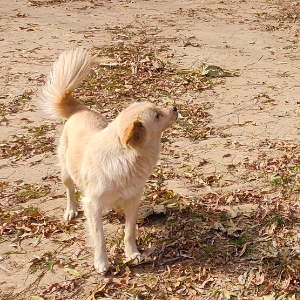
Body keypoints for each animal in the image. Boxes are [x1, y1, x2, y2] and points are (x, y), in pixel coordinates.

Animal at [41, 48, 178, 274]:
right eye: (157, 115)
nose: (175, 107)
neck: (125, 159)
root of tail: (80, 110)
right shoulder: (92, 204)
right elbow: (99, 237)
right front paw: (102, 262)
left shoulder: (133, 200)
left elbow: (129, 231)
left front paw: (132, 254)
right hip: (66, 173)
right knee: (70, 190)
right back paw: (71, 210)